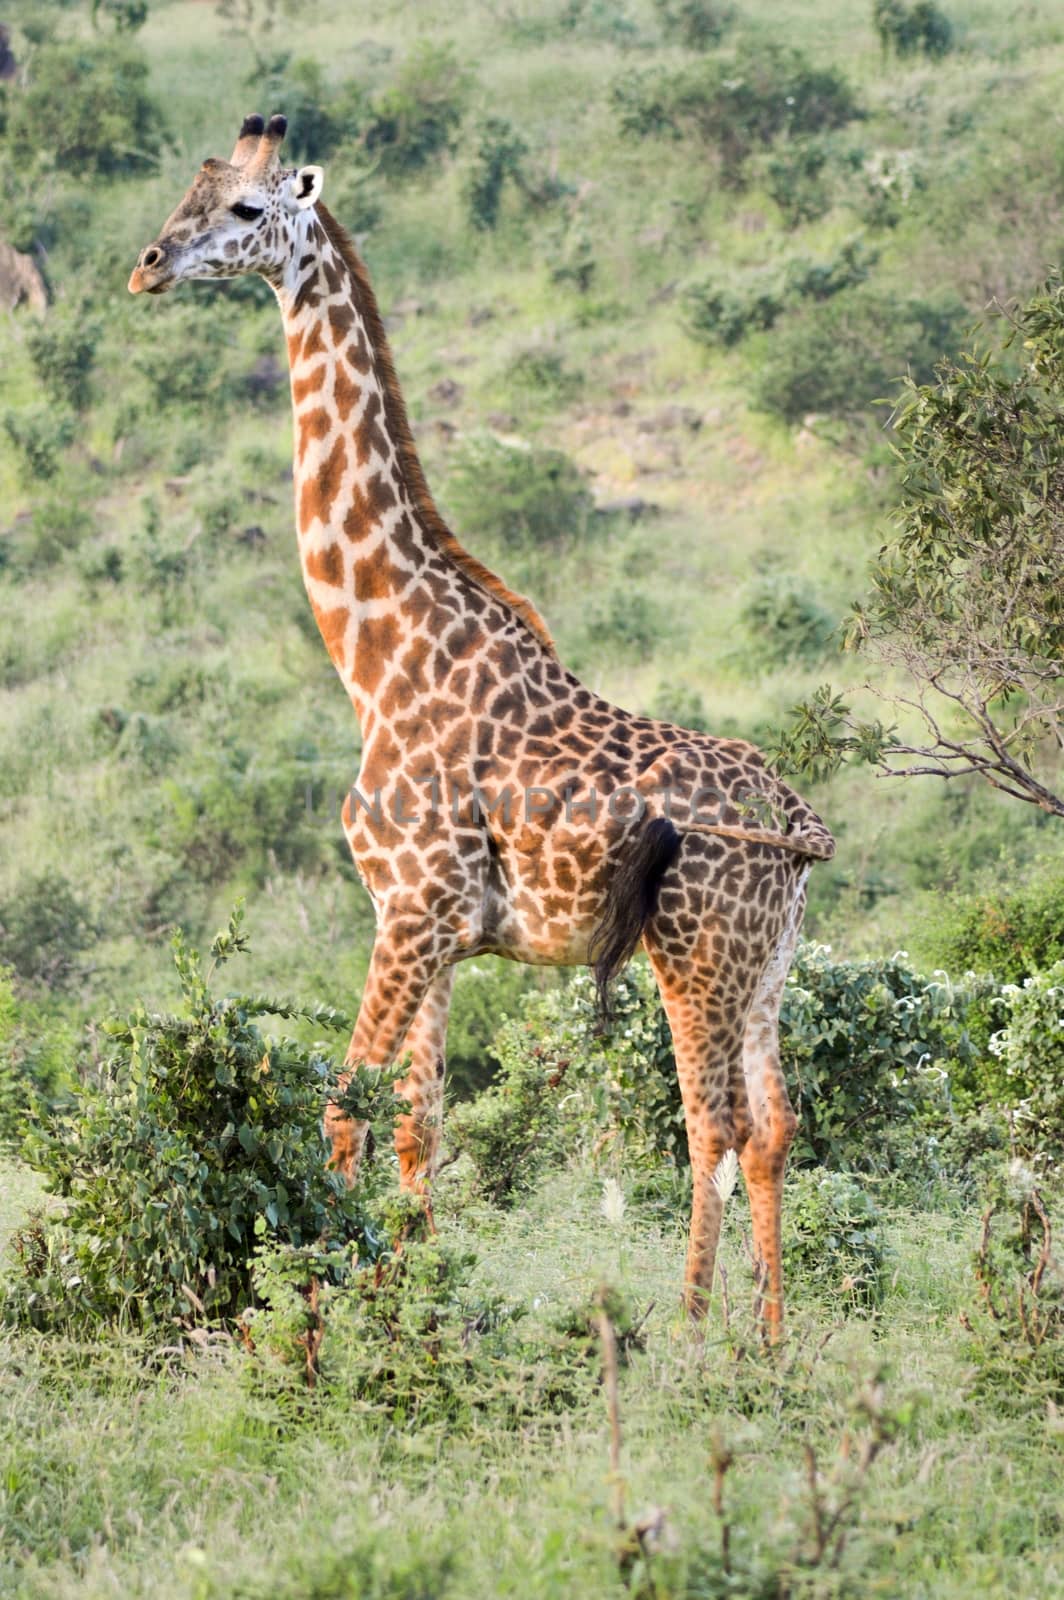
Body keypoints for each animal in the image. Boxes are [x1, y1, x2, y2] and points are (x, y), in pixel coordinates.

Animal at [128, 116, 832, 1337]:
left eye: (247, 211)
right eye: (188, 192)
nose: (149, 265)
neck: (378, 658)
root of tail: (795, 825)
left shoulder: (409, 908)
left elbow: (345, 1107)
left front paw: (319, 1324)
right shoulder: (439, 930)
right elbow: (420, 1124)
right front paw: (406, 1303)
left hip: (692, 951)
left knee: (714, 1123)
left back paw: (694, 1332)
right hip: (767, 963)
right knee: (774, 1126)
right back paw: (772, 1342)